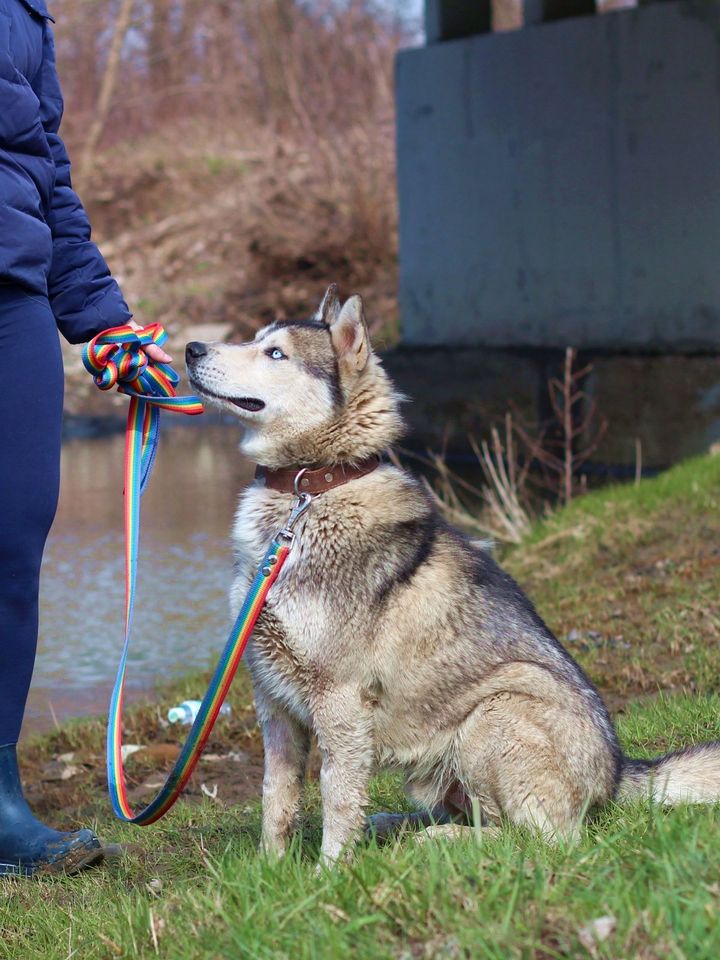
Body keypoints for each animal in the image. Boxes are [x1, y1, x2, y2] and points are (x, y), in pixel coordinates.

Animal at [187, 284, 720, 864]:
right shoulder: (273, 699)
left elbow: (337, 797)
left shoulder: (339, 699)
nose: (191, 348)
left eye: (275, 353)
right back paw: (397, 826)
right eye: (256, 338)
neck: (311, 491)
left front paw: (330, 871)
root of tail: (619, 775)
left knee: (536, 837)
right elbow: (276, 798)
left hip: (495, 713)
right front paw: (273, 871)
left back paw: (434, 841)